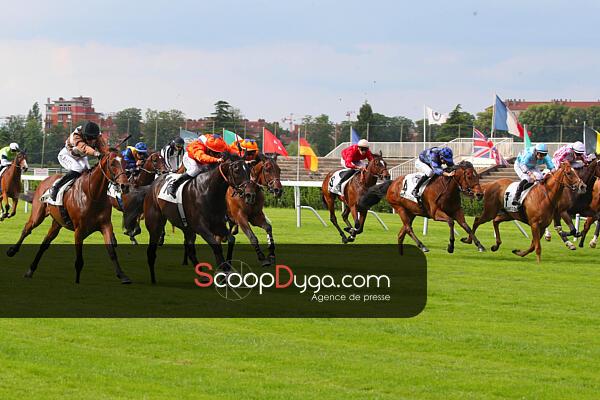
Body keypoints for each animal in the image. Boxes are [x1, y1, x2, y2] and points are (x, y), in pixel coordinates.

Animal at [7, 151, 132, 284]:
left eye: (125, 162)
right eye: (113, 163)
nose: (125, 186)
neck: (93, 194)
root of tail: (45, 180)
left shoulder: (106, 225)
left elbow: (112, 251)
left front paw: (122, 275)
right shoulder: (79, 230)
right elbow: (79, 259)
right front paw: (77, 280)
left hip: (57, 223)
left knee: (45, 243)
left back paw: (30, 270)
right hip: (37, 215)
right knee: (27, 229)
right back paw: (12, 251)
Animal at [132, 155, 258, 283]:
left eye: (249, 170)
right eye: (237, 170)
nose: (250, 194)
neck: (208, 190)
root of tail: (154, 183)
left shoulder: (217, 224)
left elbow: (231, 240)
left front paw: (226, 270)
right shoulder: (201, 227)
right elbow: (216, 246)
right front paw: (223, 274)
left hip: (187, 228)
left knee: (190, 250)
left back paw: (202, 275)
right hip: (155, 224)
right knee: (151, 251)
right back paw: (153, 278)